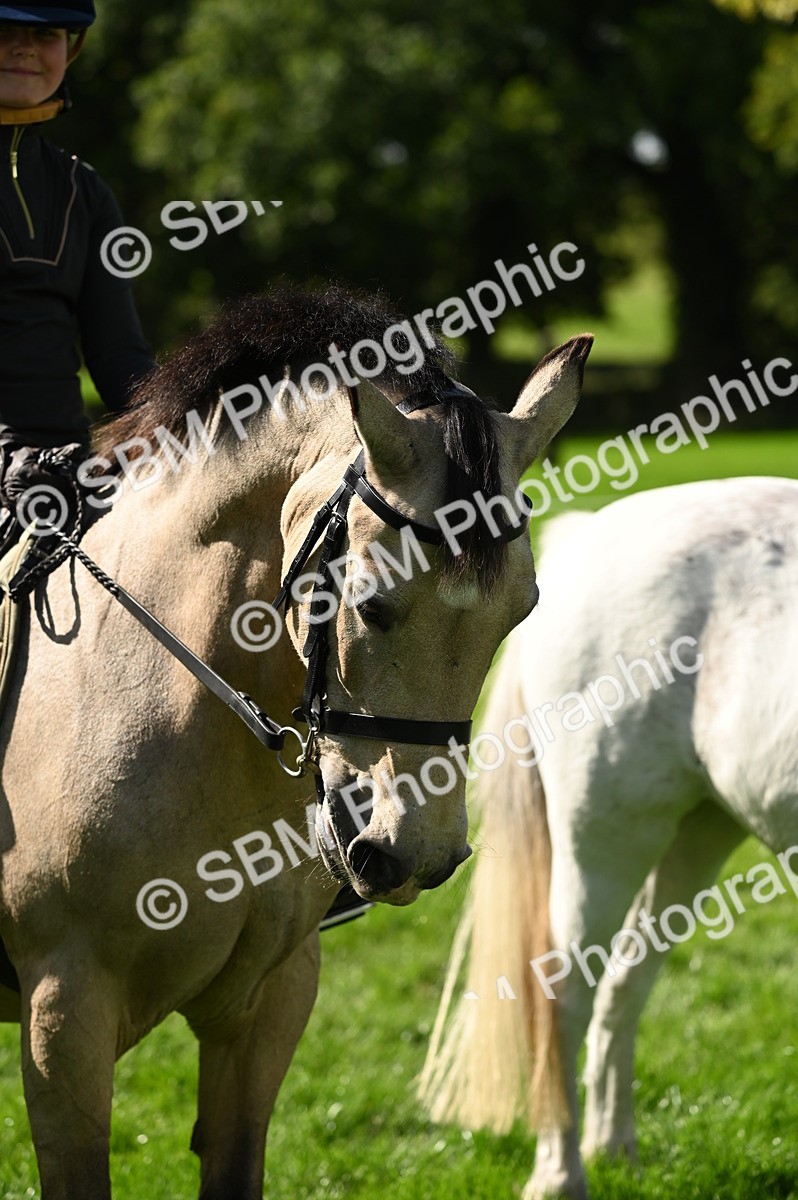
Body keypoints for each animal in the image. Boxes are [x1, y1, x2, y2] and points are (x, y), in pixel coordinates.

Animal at [419, 474, 798, 1199]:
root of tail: (587, 536)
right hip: (603, 845)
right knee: (566, 994)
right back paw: (562, 1171)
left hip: (698, 832)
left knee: (625, 983)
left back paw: (614, 1143)